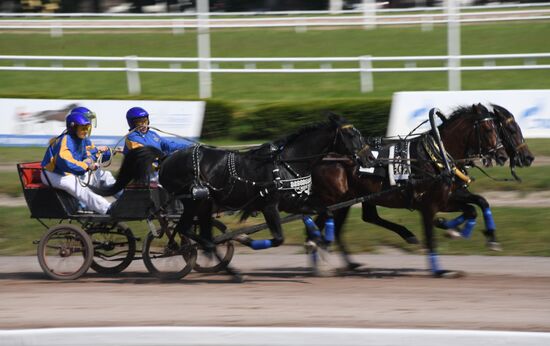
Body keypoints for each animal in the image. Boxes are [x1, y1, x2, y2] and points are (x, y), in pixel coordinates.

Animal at [95, 113, 374, 278]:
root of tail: (164, 158)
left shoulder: (296, 201)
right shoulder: (270, 205)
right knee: (187, 231)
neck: (284, 163)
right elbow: (278, 239)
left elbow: (324, 212)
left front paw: (321, 241)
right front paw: (247, 240)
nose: (370, 158)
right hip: (194, 200)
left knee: (200, 232)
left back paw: (220, 260)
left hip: (204, 204)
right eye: (351, 134)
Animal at [306, 104, 508, 278]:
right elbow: (431, 236)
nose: (502, 155)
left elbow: (477, 205)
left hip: (352, 198)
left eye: (498, 129)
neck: (435, 157)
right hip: (335, 200)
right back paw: (317, 260)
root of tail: (322, 157)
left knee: (360, 220)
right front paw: (439, 270)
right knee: (319, 223)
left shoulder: (447, 198)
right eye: (488, 129)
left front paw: (465, 232)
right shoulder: (430, 205)